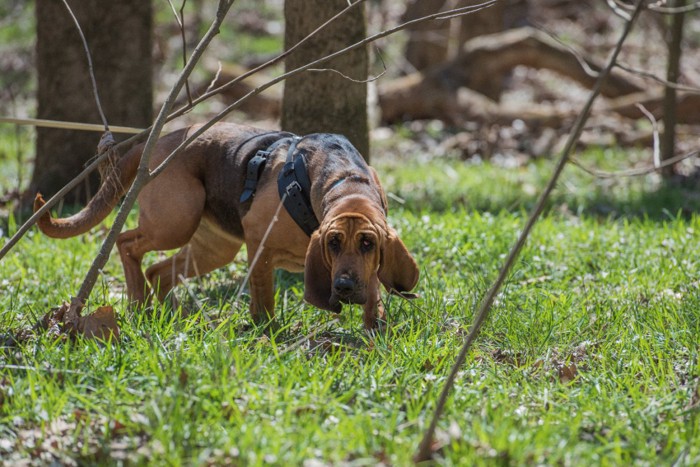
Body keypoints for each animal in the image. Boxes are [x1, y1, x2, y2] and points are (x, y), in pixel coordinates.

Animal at [35, 122, 418, 330]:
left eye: (368, 244)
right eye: (333, 243)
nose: (344, 287)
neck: (345, 181)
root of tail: (160, 141)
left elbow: (375, 298)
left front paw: (374, 329)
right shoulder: (259, 247)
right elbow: (263, 300)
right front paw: (268, 332)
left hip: (214, 248)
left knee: (159, 271)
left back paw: (169, 313)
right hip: (176, 221)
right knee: (127, 243)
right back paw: (138, 301)